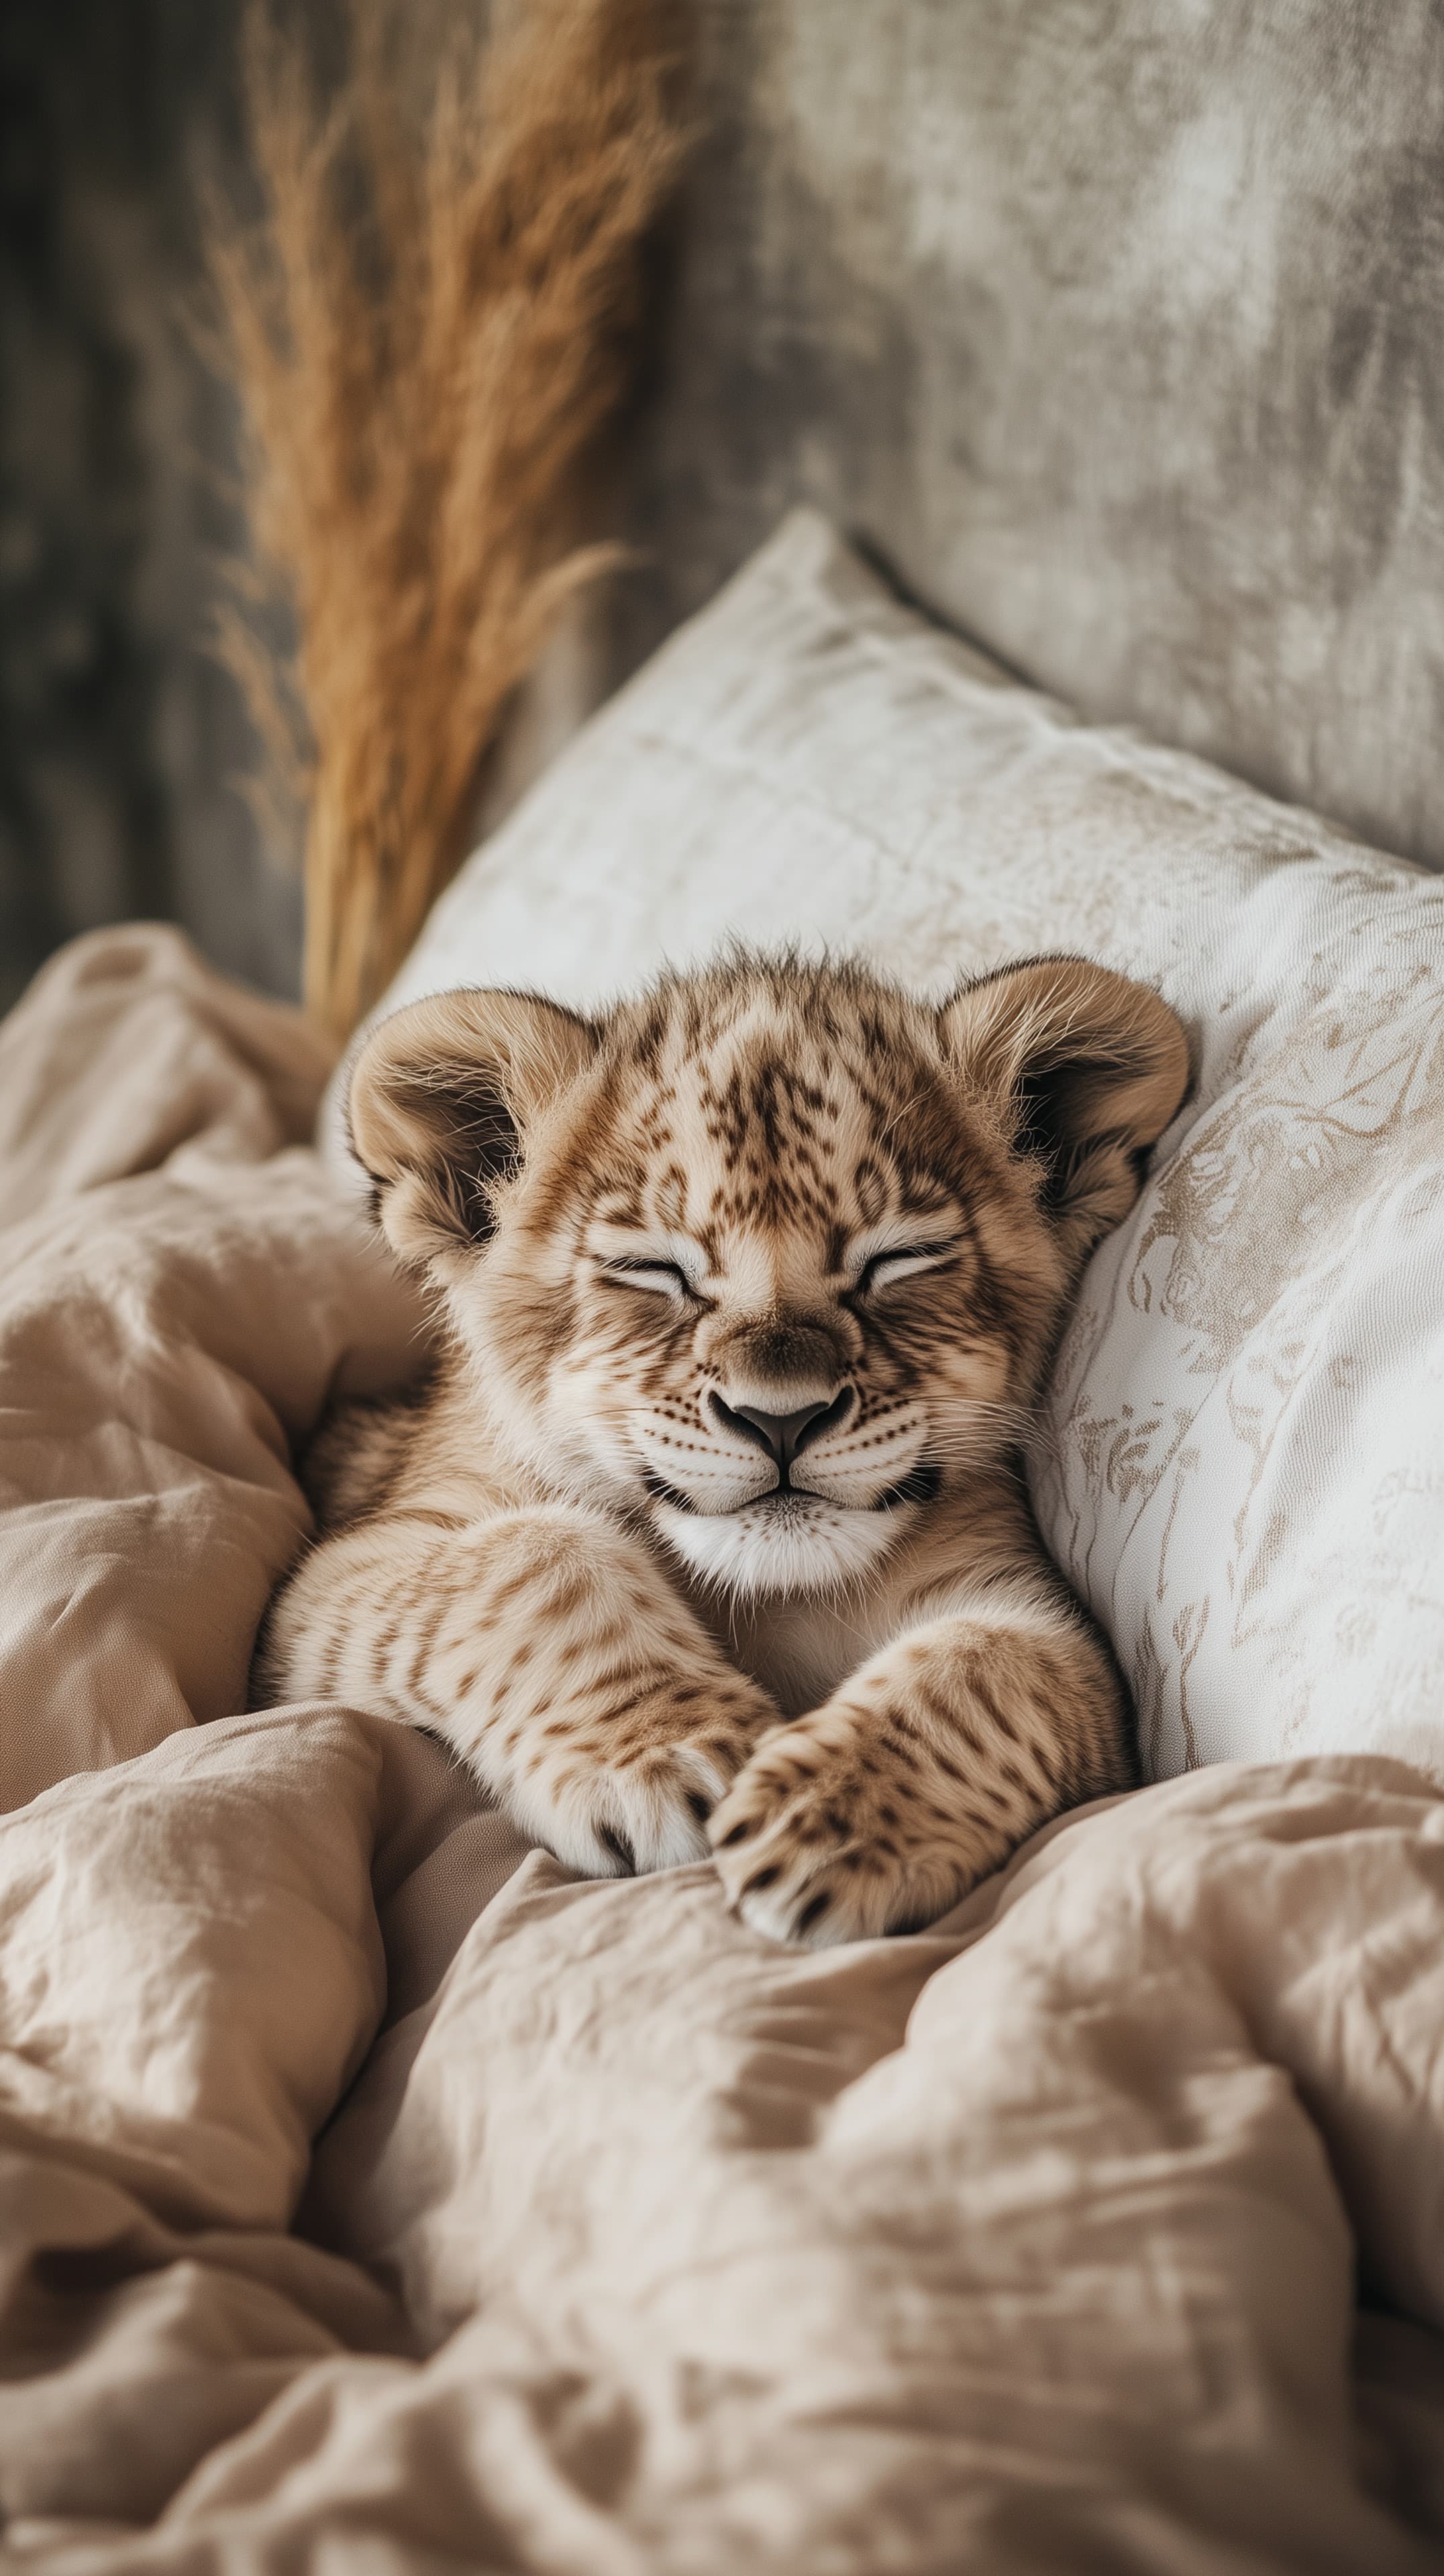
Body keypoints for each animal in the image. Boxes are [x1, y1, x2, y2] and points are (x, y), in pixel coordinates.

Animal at [258, 948, 1188, 1945]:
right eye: (653, 1271)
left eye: (897, 1261)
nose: (781, 1420)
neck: (768, 1594)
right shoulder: (336, 1576)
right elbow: (532, 1555)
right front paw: (674, 1759)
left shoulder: (1054, 1633)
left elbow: (989, 1666)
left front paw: (823, 1822)